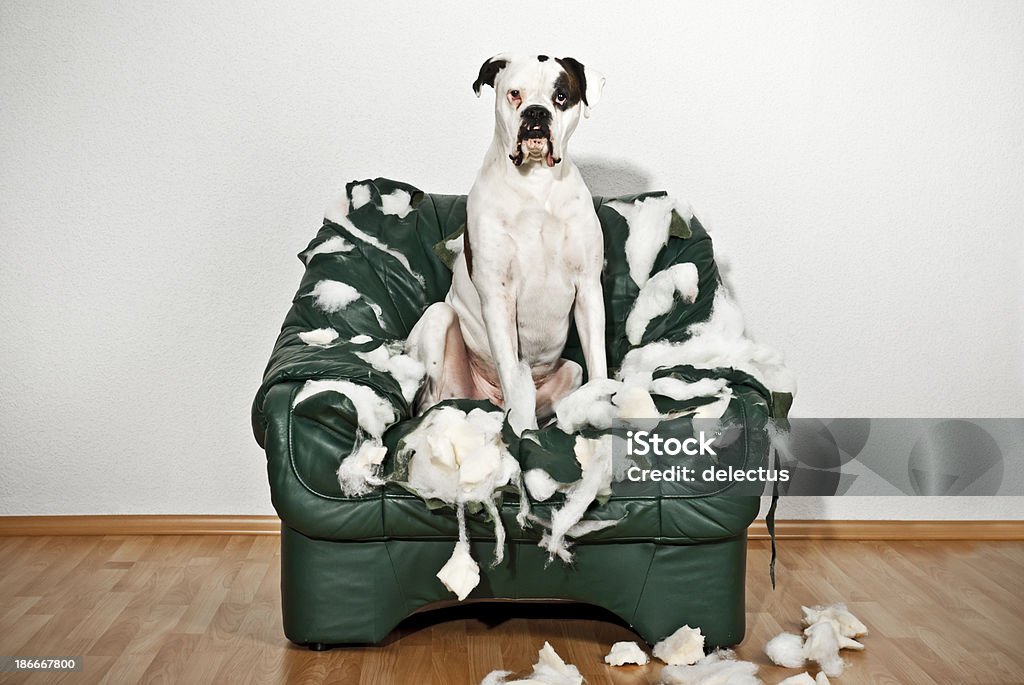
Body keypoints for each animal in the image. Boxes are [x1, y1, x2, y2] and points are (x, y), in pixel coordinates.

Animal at [403, 53, 602, 432]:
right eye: (514, 94)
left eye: (561, 96)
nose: (536, 113)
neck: (536, 184)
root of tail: (487, 399)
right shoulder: (498, 296)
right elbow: (513, 374)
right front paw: (523, 431)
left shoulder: (588, 289)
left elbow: (599, 364)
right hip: (438, 319)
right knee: (430, 400)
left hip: (571, 370)